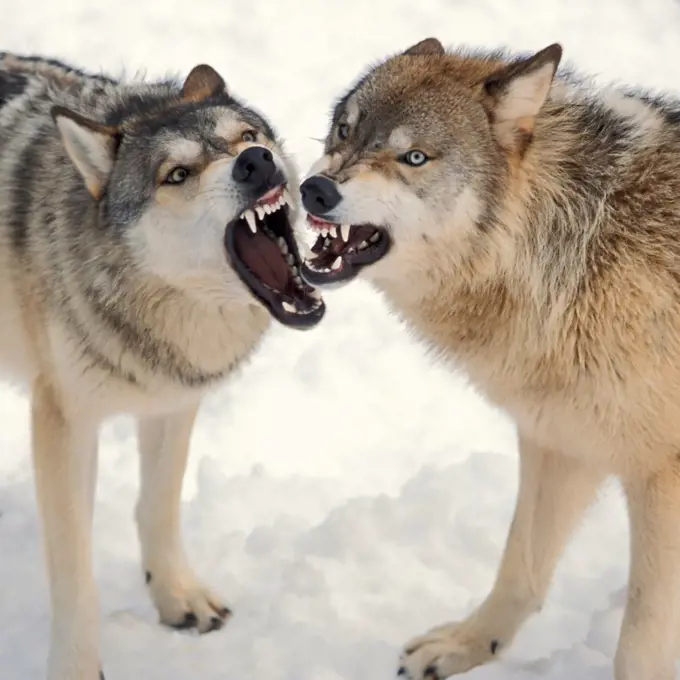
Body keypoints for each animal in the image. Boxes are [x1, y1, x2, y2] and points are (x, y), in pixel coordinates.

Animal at [0, 53, 326, 680]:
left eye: (247, 137)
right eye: (178, 174)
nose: (255, 163)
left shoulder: (173, 399)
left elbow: (157, 506)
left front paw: (177, 598)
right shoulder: (64, 422)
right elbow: (76, 577)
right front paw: (75, 668)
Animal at [300, 35, 680, 680]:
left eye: (415, 158)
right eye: (344, 131)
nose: (314, 190)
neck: (584, 248)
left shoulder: (660, 478)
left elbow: (639, 642)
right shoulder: (559, 440)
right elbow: (519, 566)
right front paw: (466, 646)